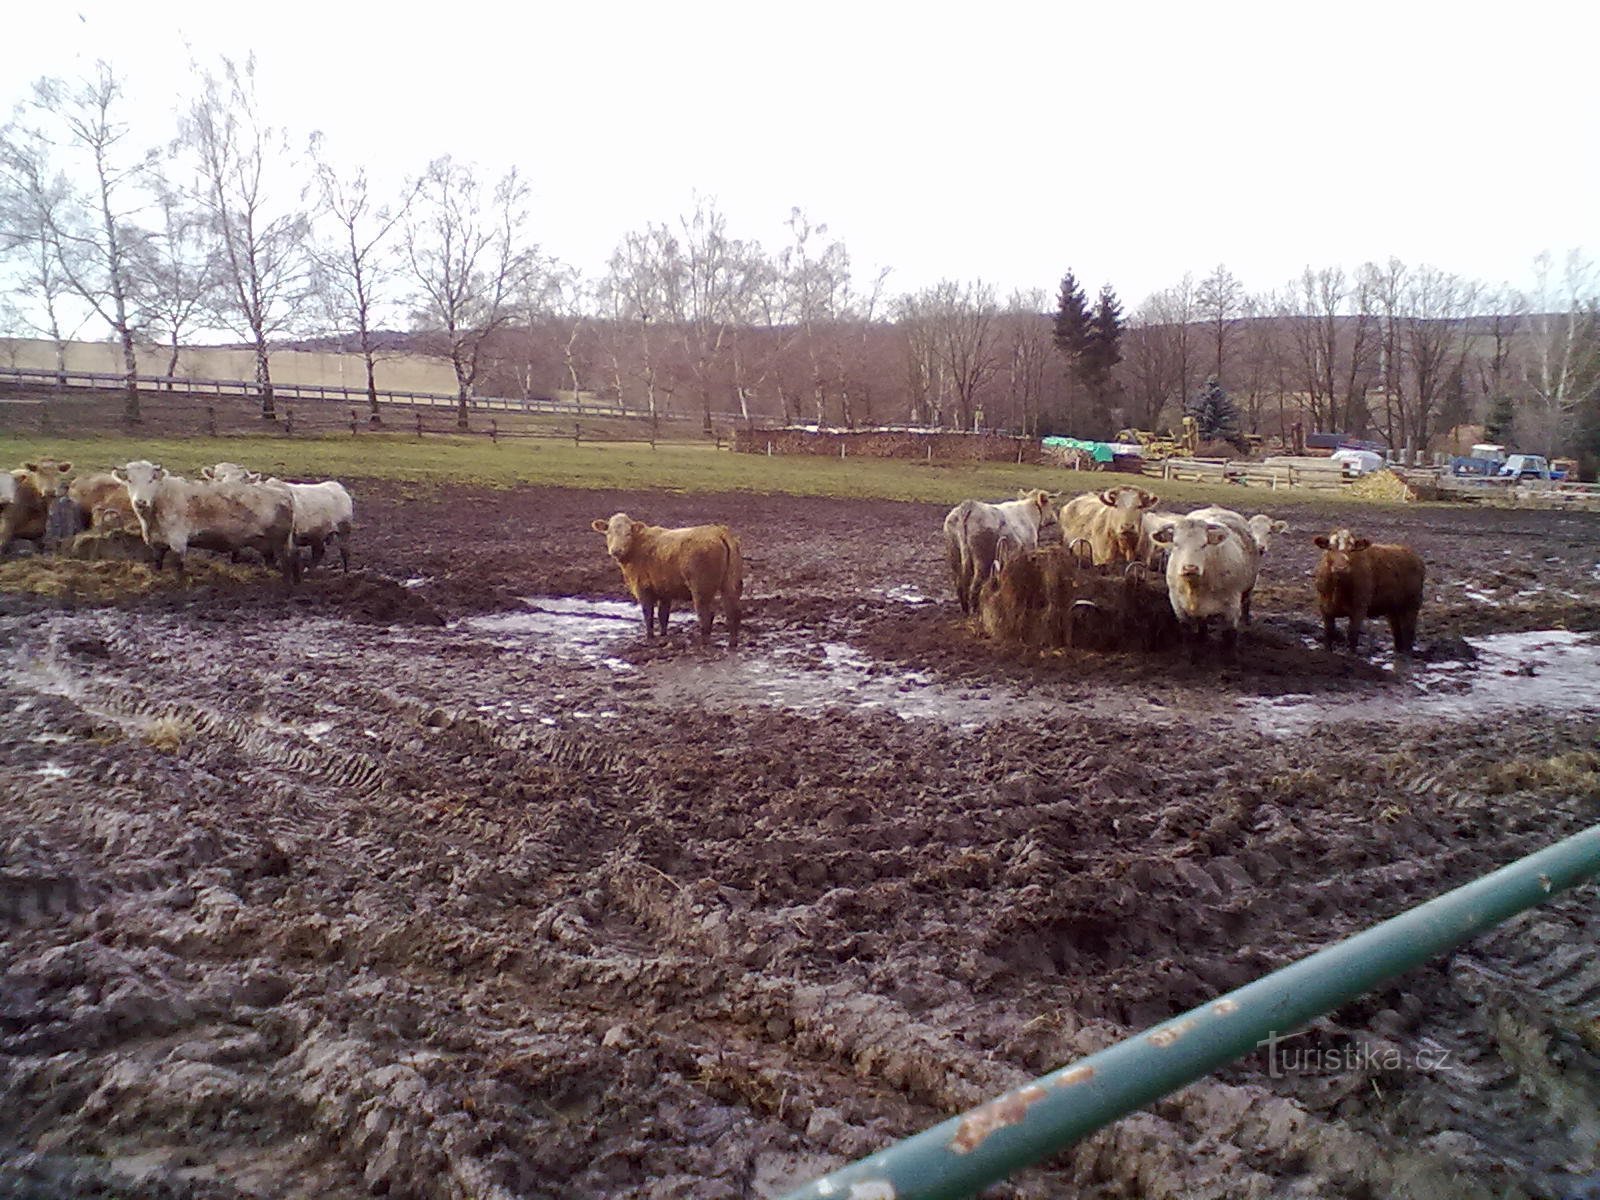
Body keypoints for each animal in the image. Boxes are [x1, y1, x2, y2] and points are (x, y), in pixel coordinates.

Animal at [588, 515, 742, 652]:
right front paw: (663, 635)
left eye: (628, 533)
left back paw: (704, 643)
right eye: (608, 533)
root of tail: (718, 531)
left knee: (707, 614)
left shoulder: (643, 588)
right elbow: (663, 615)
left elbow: (648, 614)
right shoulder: (664, 589)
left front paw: (650, 637)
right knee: (732, 611)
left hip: (701, 587)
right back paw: (732, 643)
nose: (615, 550)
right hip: (730, 582)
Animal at [934, 489, 1062, 614]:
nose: (1054, 518)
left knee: (960, 584)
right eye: (1049, 502)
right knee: (975, 586)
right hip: (982, 561)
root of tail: (969, 506)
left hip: (954, 554)